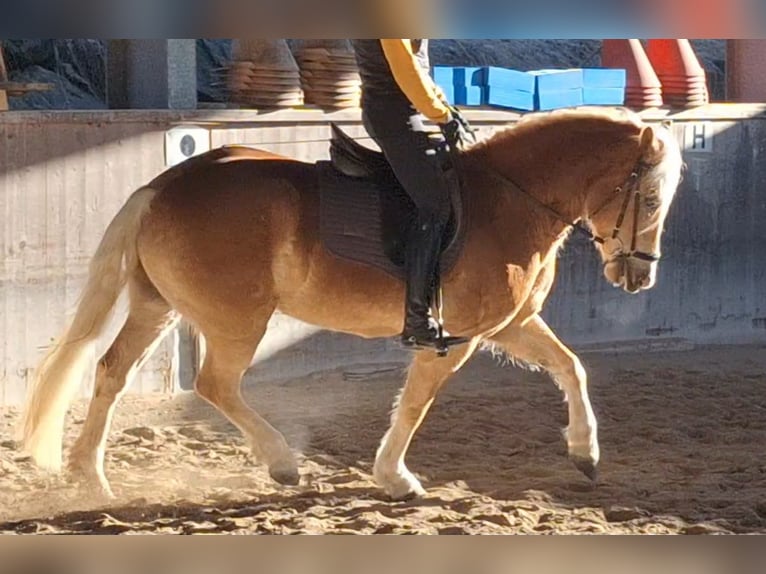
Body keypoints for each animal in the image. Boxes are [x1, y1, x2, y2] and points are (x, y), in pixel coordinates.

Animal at [18, 107, 683, 501]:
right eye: (651, 199)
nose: (639, 277)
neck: (509, 201)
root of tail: (163, 185)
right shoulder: (456, 337)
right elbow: (414, 405)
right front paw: (396, 478)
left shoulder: (509, 325)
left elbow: (572, 367)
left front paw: (585, 453)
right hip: (236, 320)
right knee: (214, 384)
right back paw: (282, 464)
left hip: (158, 306)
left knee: (111, 372)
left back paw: (92, 478)